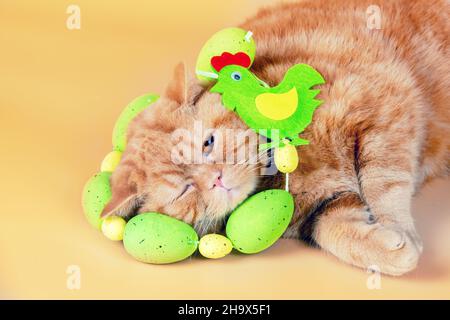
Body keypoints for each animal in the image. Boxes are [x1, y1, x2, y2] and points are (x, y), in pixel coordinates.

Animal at [102, 0, 450, 276]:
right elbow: (337, 233)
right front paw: (388, 252)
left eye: (208, 143)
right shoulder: (320, 209)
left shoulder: (381, 106)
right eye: (184, 191)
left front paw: (398, 225)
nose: (216, 179)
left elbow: (384, 182)